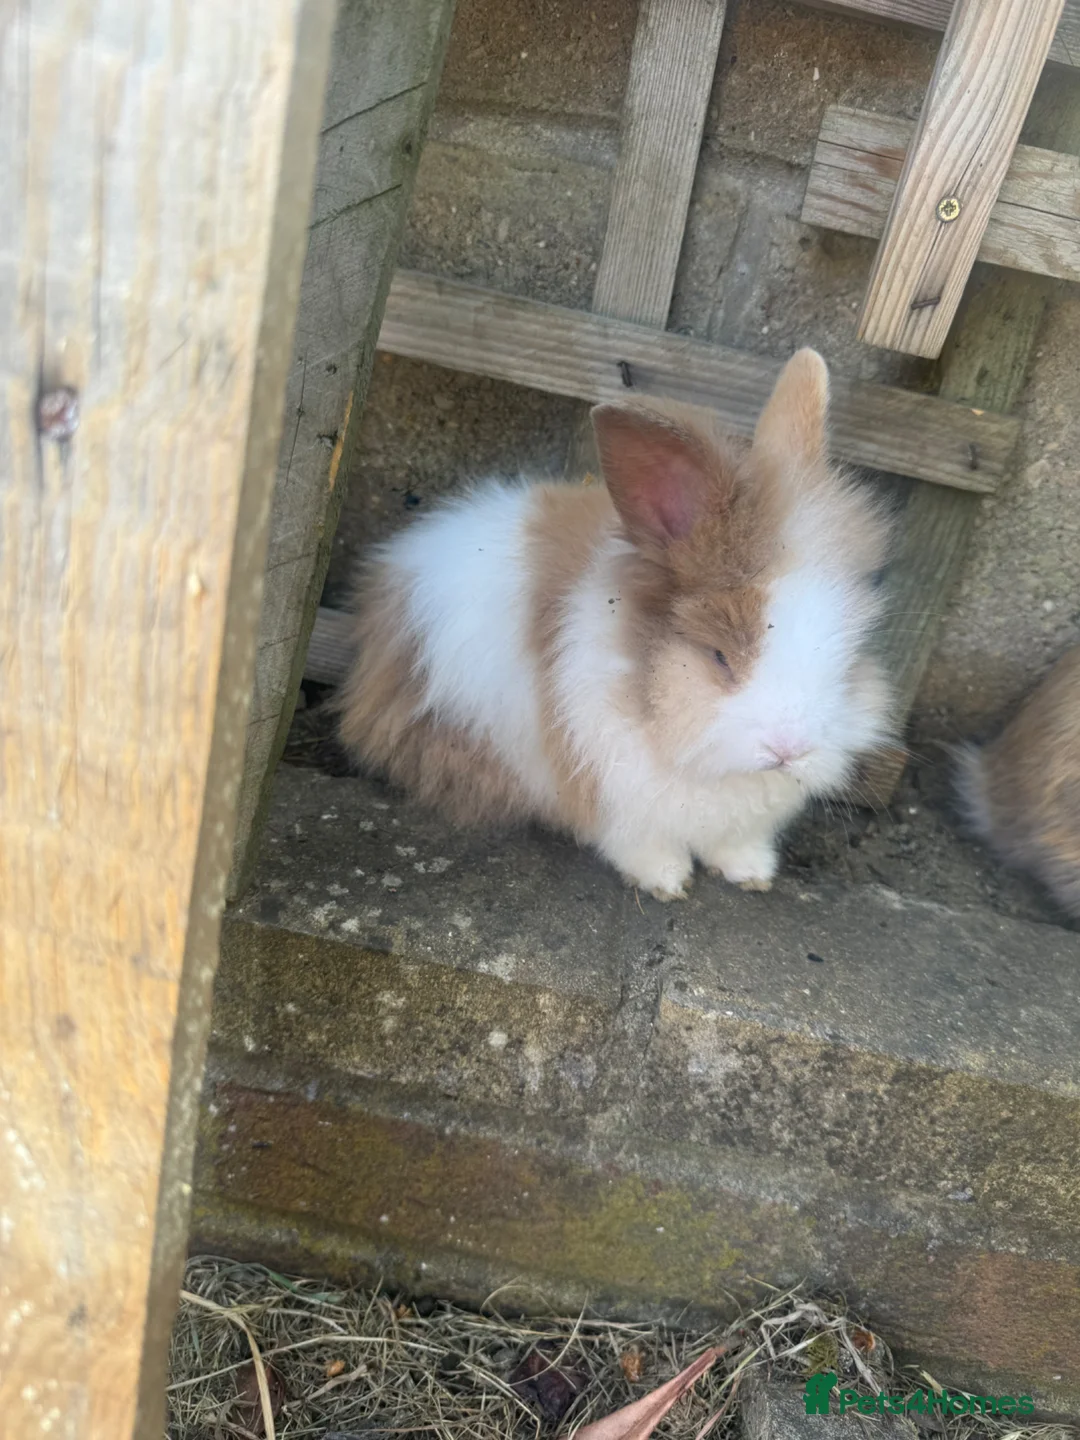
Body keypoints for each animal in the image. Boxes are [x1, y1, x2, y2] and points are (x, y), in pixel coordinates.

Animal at [337, 348, 893, 900]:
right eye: (718, 656)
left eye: (849, 656)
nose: (789, 750)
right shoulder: (608, 787)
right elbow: (637, 841)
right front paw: (666, 881)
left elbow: (734, 844)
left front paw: (752, 873)